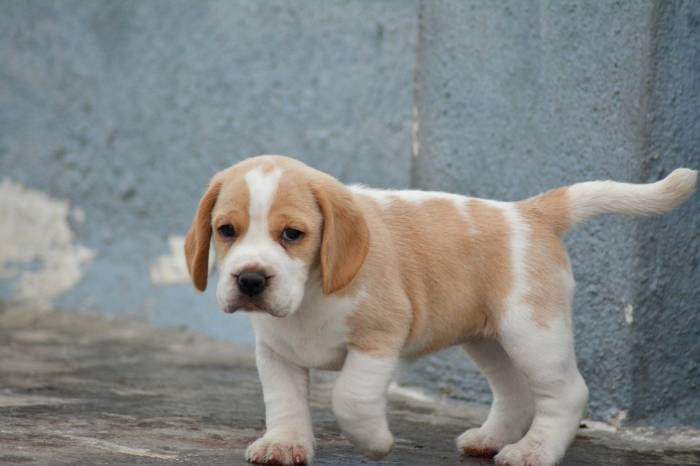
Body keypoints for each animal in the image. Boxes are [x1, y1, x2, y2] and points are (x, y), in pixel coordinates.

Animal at [183, 157, 696, 466]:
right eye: (226, 230)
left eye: (292, 234)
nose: (250, 280)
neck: (311, 295)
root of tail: (529, 213)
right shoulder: (277, 353)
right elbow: (285, 403)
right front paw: (284, 443)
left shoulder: (378, 342)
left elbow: (349, 397)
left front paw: (374, 442)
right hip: (489, 340)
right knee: (515, 393)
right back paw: (492, 439)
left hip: (533, 333)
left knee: (566, 394)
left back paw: (534, 450)